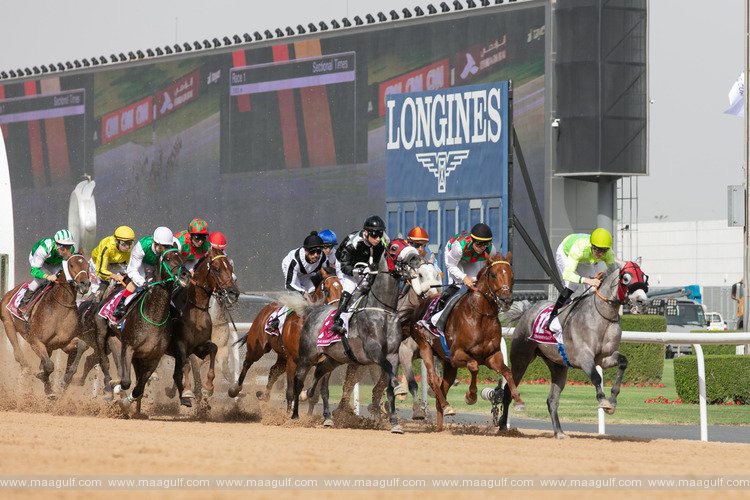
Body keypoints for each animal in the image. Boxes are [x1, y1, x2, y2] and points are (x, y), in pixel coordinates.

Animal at [0, 256, 90, 396]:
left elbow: (81, 345)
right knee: (18, 354)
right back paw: (26, 372)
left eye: (88, 265)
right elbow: (49, 365)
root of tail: (10, 292)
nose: (85, 284)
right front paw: (47, 385)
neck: (60, 310)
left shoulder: (64, 344)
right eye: (71, 265)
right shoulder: (35, 342)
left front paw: (65, 378)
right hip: (8, 323)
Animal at [168, 246, 239, 406]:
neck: (196, 309)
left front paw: (208, 388)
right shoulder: (182, 346)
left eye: (231, 268)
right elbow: (188, 366)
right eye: (217, 269)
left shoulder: (202, 347)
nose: (233, 293)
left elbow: (214, 350)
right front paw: (190, 391)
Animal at [229, 268, 344, 412]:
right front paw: (289, 414)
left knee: (273, 371)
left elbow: (320, 391)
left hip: (282, 357)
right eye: (327, 290)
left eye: (342, 290)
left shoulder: (323, 361)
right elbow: (290, 391)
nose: (337, 313)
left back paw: (264, 396)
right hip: (258, 348)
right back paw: (235, 389)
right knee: (247, 363)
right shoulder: (293, 360)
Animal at [412, 252, 524, 432]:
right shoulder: (457, 354)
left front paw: (518, 400)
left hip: (449, 364)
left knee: (443, 386)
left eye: (512, 276)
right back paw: (446, 406)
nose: (506, 300)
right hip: (425, 347)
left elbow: (507, 372)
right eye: (493, 275)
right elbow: (473, 366)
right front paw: (470, 396)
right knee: (433, 378)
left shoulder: (492, 356)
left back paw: (441, 421)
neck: (481, 316)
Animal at [496, 260, 648, 440]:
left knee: (552, 400)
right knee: (508, 391)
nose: (642, 301)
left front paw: (612, 400)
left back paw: (559, 432)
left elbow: (623, 362)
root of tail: (527, 311)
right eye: (626, 278)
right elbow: (596, 377)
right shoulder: (584, 357)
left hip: (558, 366)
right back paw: (503, 427)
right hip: (521, 360)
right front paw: (602, 401)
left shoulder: (605, 358)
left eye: (644, 277)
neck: (601, 317)